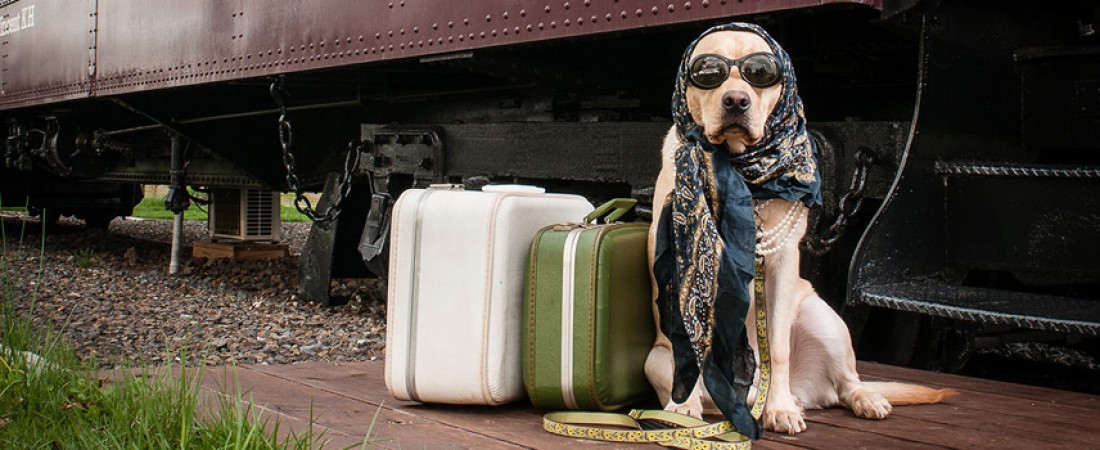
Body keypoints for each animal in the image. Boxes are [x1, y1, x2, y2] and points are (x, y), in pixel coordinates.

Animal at [642, 26, 954, 433]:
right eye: (708, 71)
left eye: (760, 72)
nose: (736, 100)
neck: (740, 166)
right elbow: (690, 342)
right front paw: (681, 408)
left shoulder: (780, 264)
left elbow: (777, 347)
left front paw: (779, 409)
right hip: (653, 359)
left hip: (825, 320)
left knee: (848, 382)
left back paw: (853, 399)